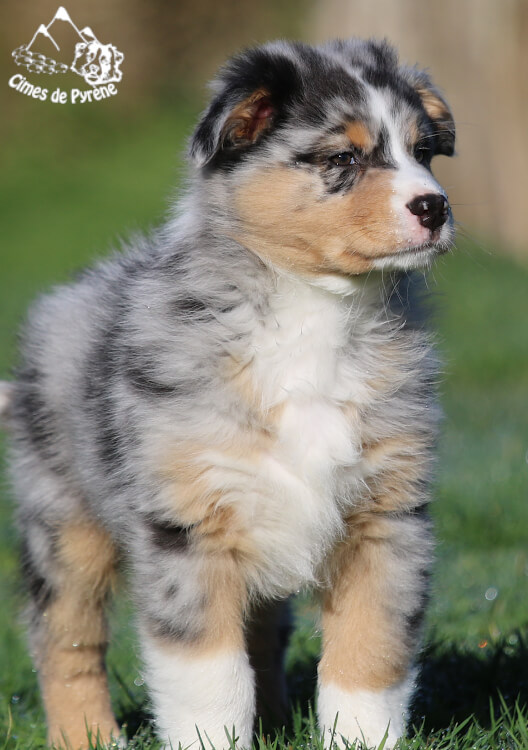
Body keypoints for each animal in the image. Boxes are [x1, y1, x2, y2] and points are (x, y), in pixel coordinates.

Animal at [2, 39, 455, 750]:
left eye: (425, 152)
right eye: (343, 158)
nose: (435, 207)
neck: (316, 314)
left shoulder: (388, 520)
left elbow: (368, 658)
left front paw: (356, 738)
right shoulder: (188, 527)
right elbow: (209, 679)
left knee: (263, 636)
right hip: (64, 522)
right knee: (66, 639)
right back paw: (89, 736)